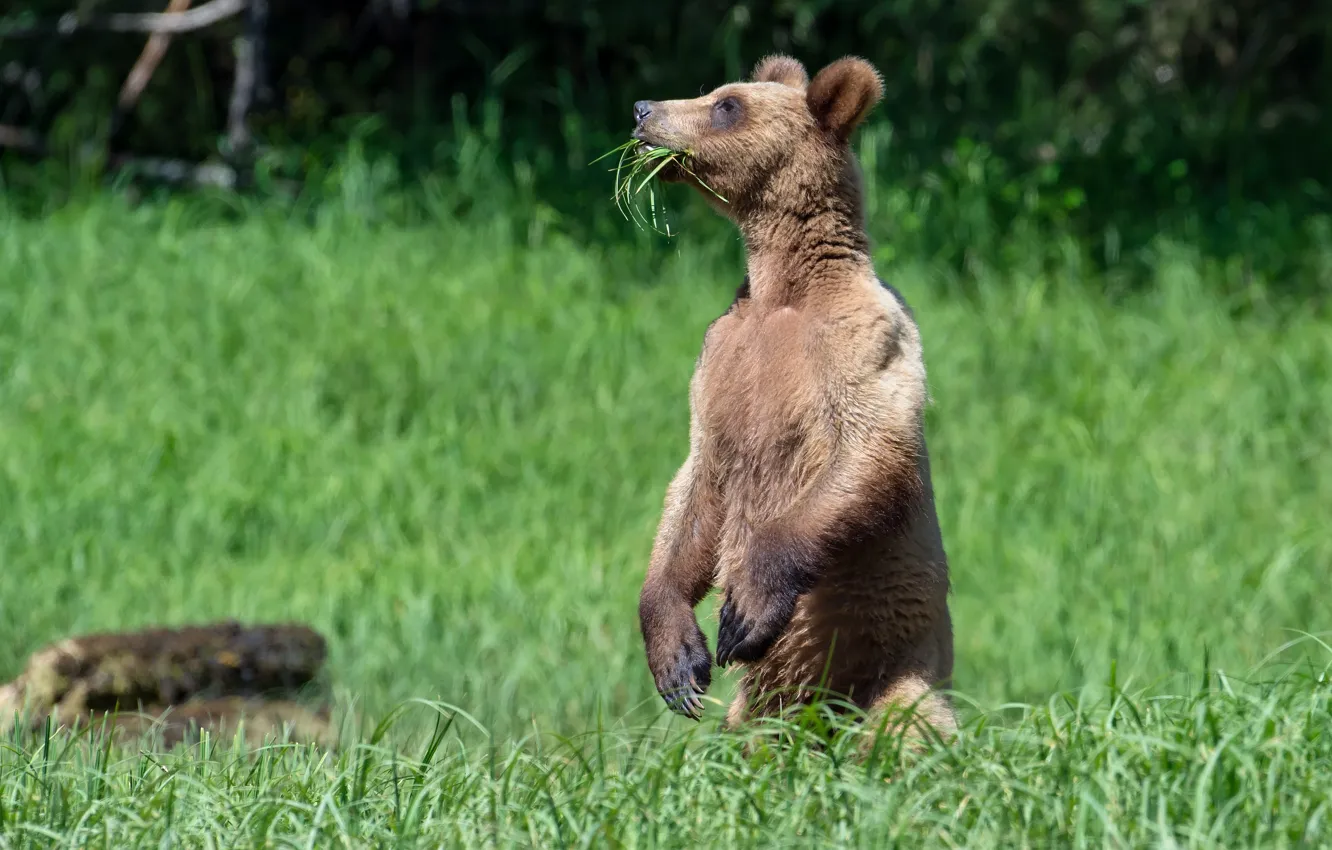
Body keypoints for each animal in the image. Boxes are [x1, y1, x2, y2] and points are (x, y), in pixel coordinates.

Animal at [634, 54, 959, 746]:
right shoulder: (722, 357)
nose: (644, 110)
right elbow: (695, 484)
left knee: (909, 722)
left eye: (726, 104)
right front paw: (679, 663)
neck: (786, 287)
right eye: (714, 90)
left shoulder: (860, 341)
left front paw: (743, 612)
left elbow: (869, 449)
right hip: (754, 716)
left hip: (895, 664)